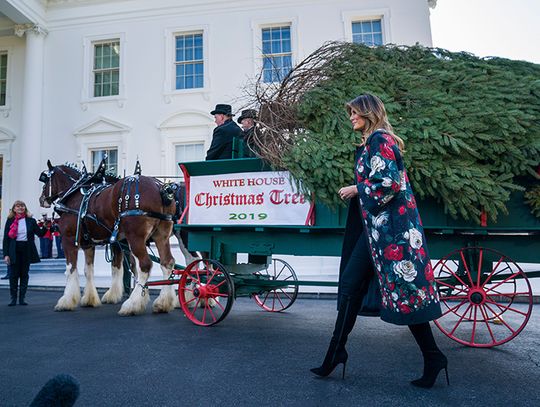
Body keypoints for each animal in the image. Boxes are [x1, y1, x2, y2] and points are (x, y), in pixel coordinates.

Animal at [40, 162, 178, 316]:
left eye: (45, 179)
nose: (42, 199)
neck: (74, 194)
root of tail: (161, 188)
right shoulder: (91, 244)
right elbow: (91, 270)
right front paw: (91, 298)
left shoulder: (68, 239)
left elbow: (71, 268)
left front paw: (67, 301)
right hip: (161, 236)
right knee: (167, 263)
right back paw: (163, 302)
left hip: (135, 237)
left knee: (145, 265)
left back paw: (132, 304)